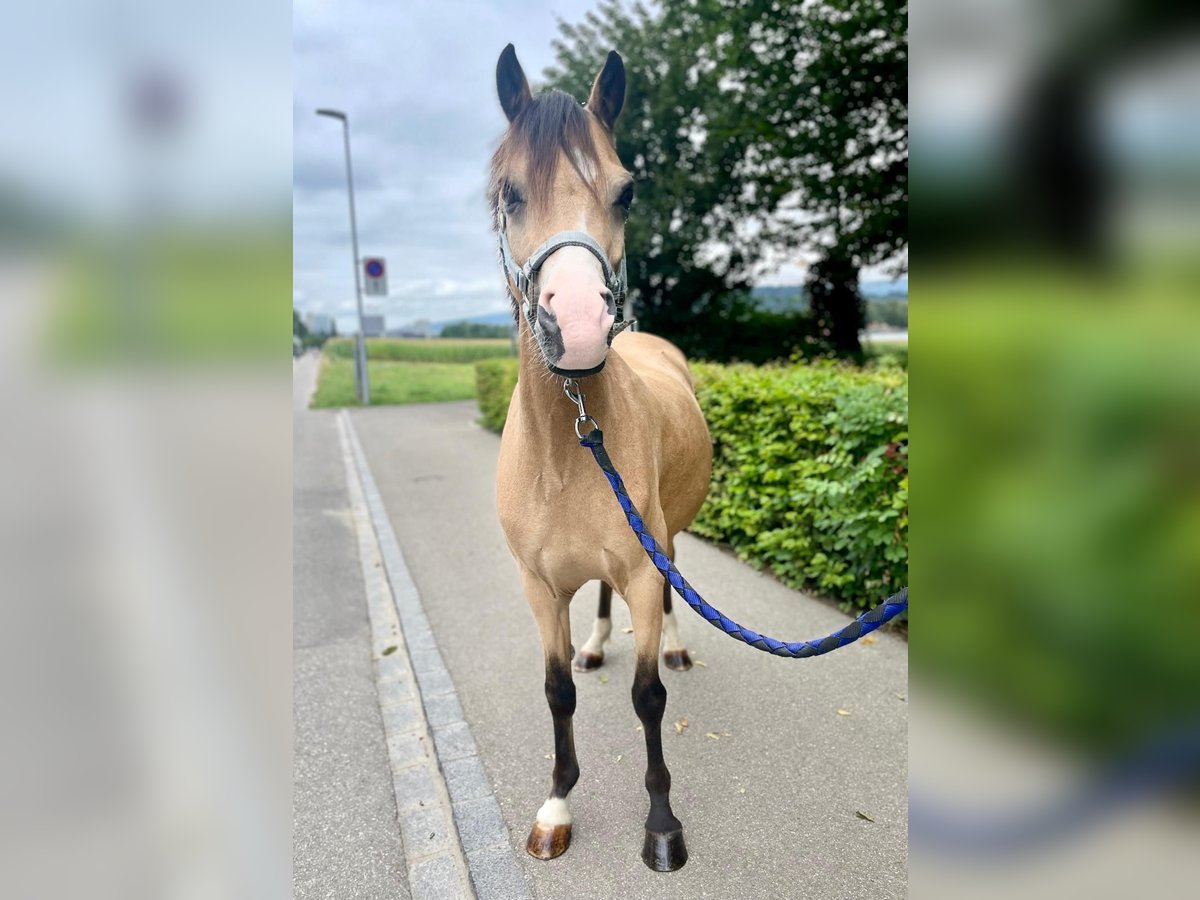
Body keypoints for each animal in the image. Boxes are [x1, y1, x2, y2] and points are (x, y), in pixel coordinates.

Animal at [489, 47, 710, 873]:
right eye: (509, 193)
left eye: (626, 191)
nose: (580, 325)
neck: (568, 447)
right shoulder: (538, 588)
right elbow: (557, 693)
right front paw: (556, 807)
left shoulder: (645, 567)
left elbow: (648, 699)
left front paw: (662, 825)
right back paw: (594, 644)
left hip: (666, 536)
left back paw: (675, 647)